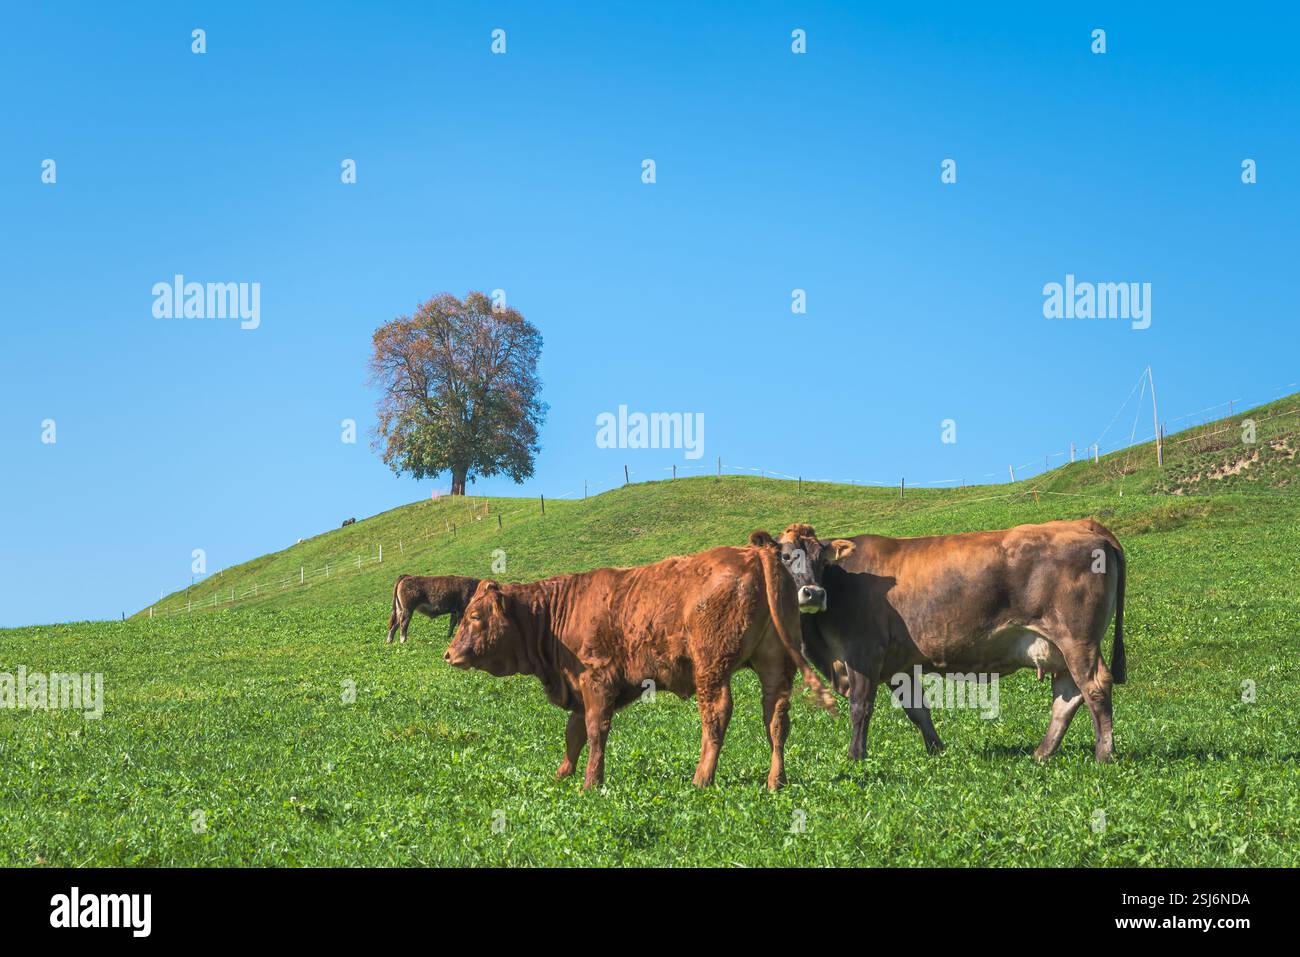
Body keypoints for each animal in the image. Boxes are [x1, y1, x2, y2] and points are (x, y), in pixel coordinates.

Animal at [442, 531, 850, 790]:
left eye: (475, 616)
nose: (448, 653)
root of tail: (755, 553)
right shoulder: (579, 685)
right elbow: (574, 732)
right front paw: (563, 773)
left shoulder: (596, 680)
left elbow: (594, 731)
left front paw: (590, 783)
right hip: (775, 664)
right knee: (776, 719)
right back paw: (775, 780)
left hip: (712, 667)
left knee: (716, 716)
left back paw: (702, 778)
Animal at [774, 520, 1126, 763]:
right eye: (785, 557)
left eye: (821, 560)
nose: (813, 593)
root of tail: (1084, 523)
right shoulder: (899, 665)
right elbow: (917, 709)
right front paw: (937, 750)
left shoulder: (863, 653)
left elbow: (861, 707)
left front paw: (855, 756)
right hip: (1060, 649)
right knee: (1068, 696)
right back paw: (1042, 753)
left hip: (1076, 638)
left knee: (1094, 686)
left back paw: (1103, 755)